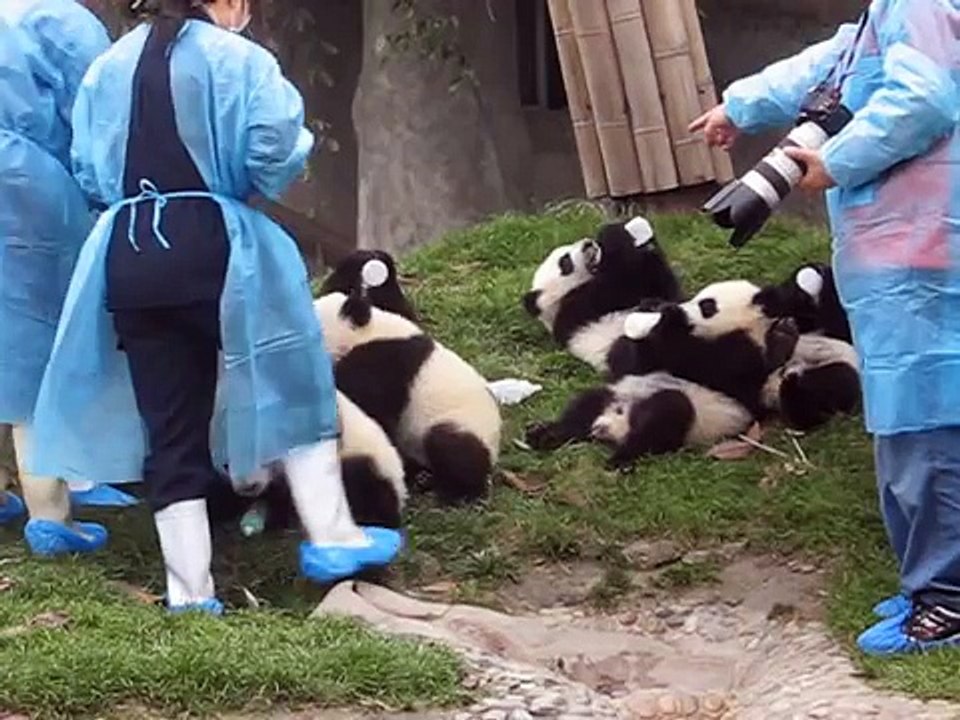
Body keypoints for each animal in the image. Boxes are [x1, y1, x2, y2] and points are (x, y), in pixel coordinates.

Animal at [314, 285, 502, 504]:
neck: (367, 332)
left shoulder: (385, 360)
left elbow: (370, 404)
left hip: (463, 421)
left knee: (453, 448)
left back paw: (452, 491)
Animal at [522, 216, 683, 373]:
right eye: (565, 261)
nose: (587, 244)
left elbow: (660, 283)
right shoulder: (579, 308)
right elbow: (619, 284)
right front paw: (611, 233)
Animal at [609, 280, 801, 418]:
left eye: (707, 306)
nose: (681, 309)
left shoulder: (740, 360)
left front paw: (670, 318)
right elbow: (632, 362)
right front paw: (653, 305)